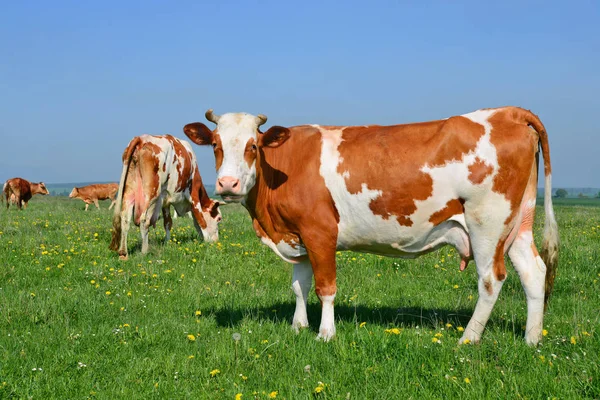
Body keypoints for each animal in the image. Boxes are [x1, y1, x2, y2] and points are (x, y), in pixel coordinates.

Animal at [185, 107, 560, 346]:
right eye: (216, 145)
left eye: (253, 146)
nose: (228, 184)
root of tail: (508, 111)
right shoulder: (298, 236)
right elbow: (299, 286)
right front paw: (298, 326)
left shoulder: (320, 232)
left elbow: (325, 287)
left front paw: (325, 334)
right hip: (518, 223)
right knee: (533, 272)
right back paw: (531, 339)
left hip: (487, 223)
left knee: (491, 280)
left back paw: (468, 339)